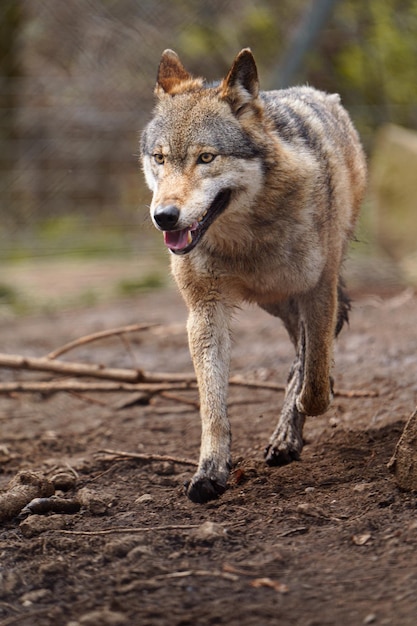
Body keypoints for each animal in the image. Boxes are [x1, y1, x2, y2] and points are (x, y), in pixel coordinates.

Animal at [139, 48, 364, 502]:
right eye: (160, 158)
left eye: (206, 158)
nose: (164, 217)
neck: (247, 238)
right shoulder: (204, 310)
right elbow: (212, 406)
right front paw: (209, 472)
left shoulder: (319, 290)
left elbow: (313, 381)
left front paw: (309, 396)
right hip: (275, 303)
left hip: (300, 292)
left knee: (313, 349)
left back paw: (288, 429)